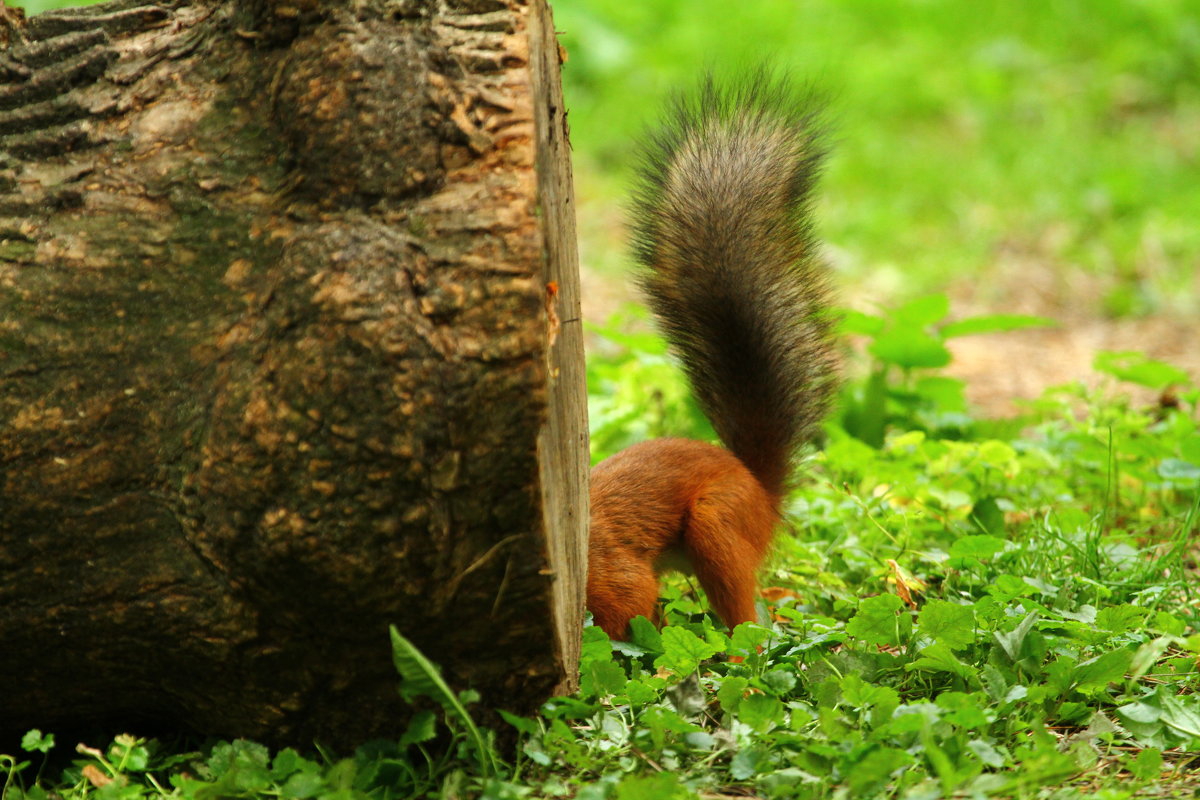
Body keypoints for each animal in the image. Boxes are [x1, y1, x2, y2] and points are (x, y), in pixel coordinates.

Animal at [583, 73, 835, 638]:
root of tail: (760, 492)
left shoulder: (610, 570)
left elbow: (629, 606)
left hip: (717, 524)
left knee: (748, 619)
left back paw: (734, 648)